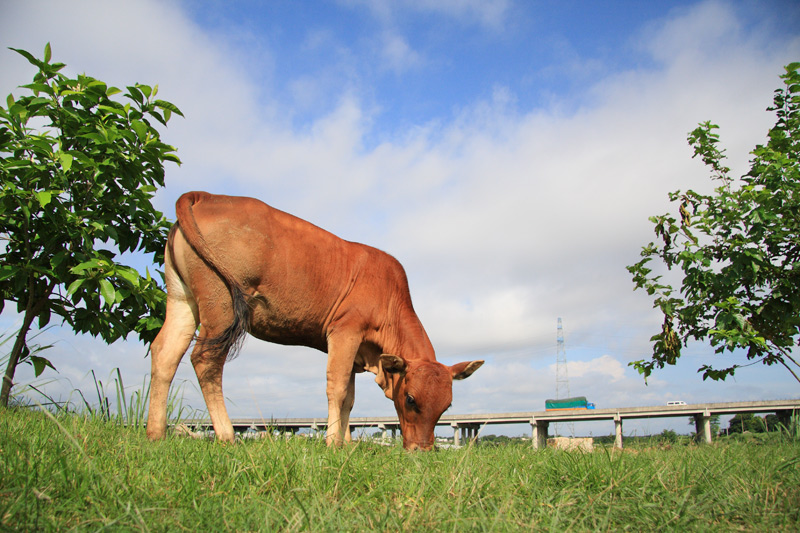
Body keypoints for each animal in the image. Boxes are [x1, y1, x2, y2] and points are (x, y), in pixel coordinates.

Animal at [145, 191, 482, 448]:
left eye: (447, 406)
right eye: (411, 399)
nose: (422, 450)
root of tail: (205, 195)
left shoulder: (356, 350)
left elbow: (349, 398)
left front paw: (345, 444)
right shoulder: (345, 331)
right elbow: (337, 388)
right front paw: (332, 443)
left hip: (182, 299)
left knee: (165, 352)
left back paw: (155, 433)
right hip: (221, 306)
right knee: (206, 360)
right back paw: (227, 435)